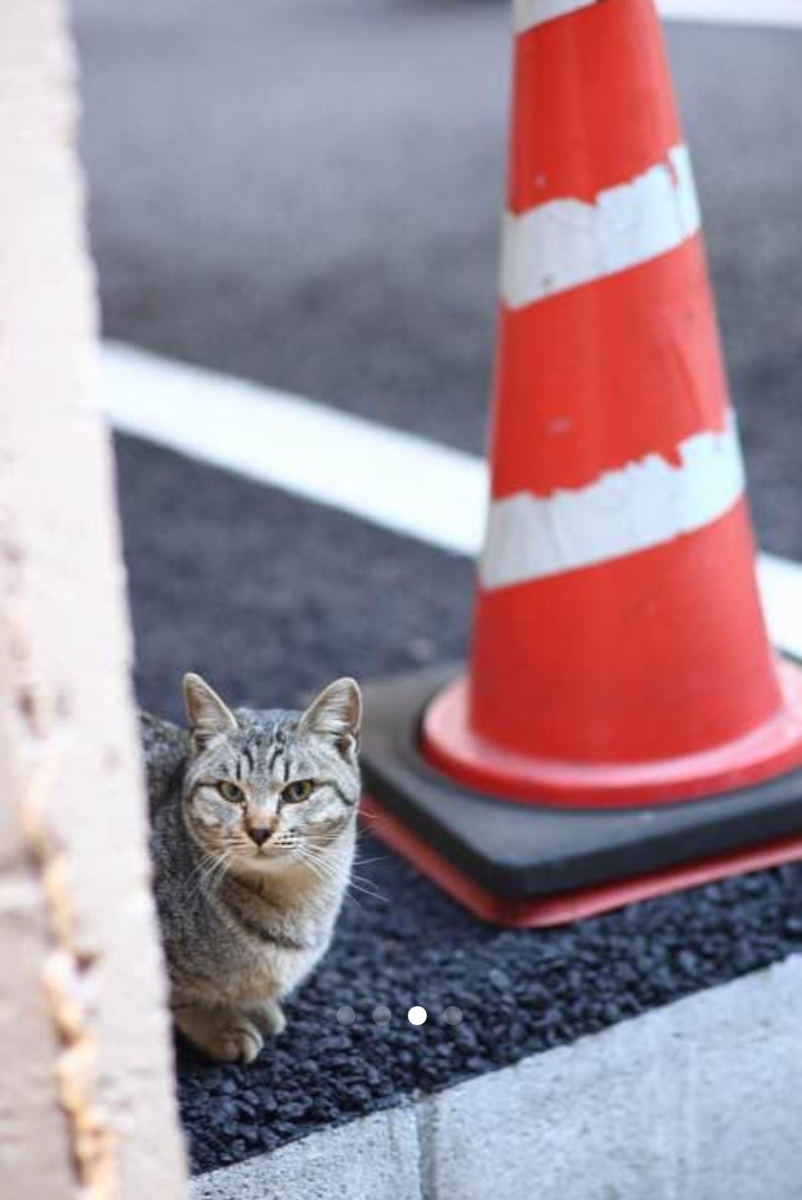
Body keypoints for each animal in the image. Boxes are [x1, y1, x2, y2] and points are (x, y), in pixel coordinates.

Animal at [142, 672, 362, 1065]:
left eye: (298, 791)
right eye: (229, 791)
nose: (259, 829)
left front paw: (255, 1007)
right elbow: (181, 994)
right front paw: (219, 1023)